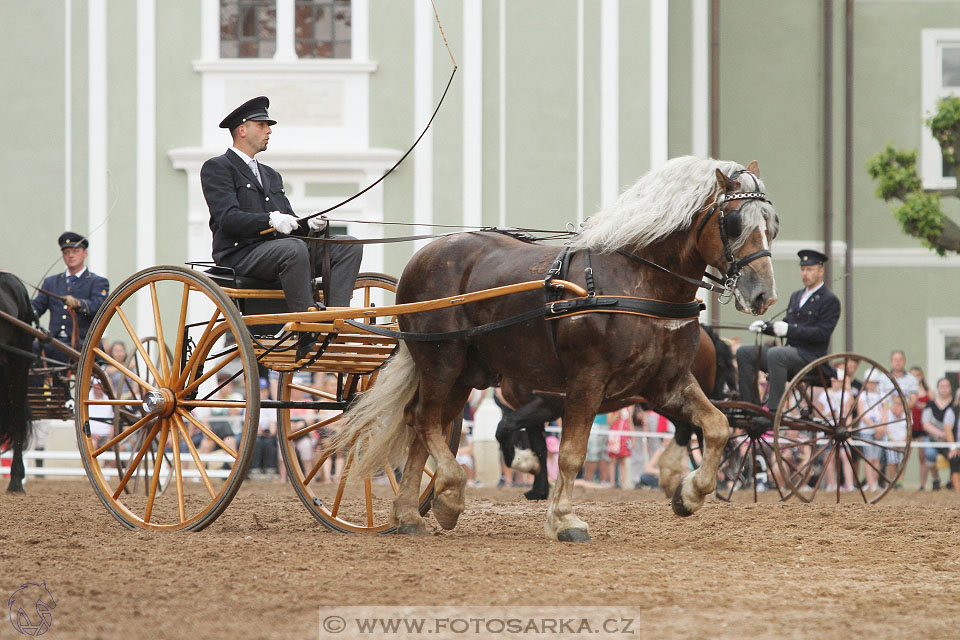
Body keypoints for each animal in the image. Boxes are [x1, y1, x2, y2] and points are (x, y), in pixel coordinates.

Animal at [334, 156, 776, 540]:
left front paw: (690, 494)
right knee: (424, 420)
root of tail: (425, 254)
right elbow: (568, 453)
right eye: (733, 221)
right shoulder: (585, 382)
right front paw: (564, 518)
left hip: (463, 372)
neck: (636, 281)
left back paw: (412, 512)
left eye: (773, 223)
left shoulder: (666, 383)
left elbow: (717, 425)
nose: (764, 295)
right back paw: (447, 496)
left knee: (423, 424)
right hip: (442, 359)